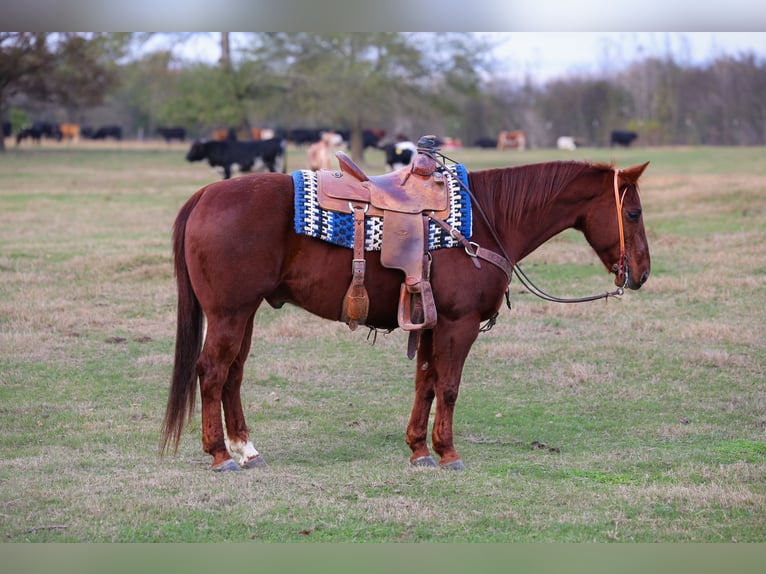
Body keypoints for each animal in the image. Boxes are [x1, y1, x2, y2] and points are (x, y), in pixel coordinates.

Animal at [161, 158, 651, 471]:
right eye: (633, 212)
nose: (642, 273)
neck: (487, 219)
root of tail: (205, 194)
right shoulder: (459, 323)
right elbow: (448, 386)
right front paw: (448, 453)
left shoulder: (432, 323)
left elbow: (426, 383)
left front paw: (419, 450)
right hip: (229, 313)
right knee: (213, 371)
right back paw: (220, 455)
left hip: (244, 313)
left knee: (233, 374)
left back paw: (246, 450)